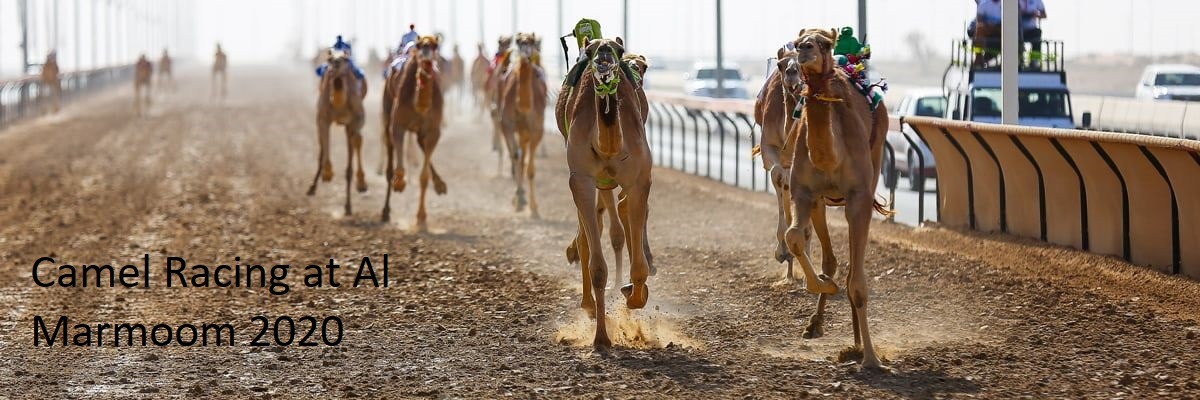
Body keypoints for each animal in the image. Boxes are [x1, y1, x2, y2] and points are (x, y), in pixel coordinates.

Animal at [307, 45, 367, 215]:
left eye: (346, 59)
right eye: (329, 58)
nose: (336, 62)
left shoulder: (358, 117)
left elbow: (357, 140)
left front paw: (361, 184)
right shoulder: (322, 118)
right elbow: (325, 140)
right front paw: (327, 173)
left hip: (349, 125)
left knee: (353, 146)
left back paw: (349, 204)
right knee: (322, 145)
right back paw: (313, 187)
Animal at [381, 36, 448, 230]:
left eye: (435, 45)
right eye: (420, 45)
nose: (425, 49)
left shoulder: (433, 131)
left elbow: (424, 177)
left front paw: (422, 219)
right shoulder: (398, 124)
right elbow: (398, 168)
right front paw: (399, 183)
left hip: (421, 132)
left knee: (421, 145)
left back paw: (440, 185)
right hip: (387, 110)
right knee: (389, 154)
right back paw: (385, 211)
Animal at [496, 32, 549, 216]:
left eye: (531, 41)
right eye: (519, 42)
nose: (526, 53)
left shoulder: (537, 130)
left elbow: (530, 169)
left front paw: (534, 208)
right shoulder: (506, 126)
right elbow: (515, 156)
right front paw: (519, 200)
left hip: (526, 132)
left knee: (525, 157)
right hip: (519, 131)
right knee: (519, 156)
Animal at [554, 37, 652, 348]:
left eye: (618, 51)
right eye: (591, 50)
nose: (605, 55)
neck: (608, 147)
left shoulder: (640, 179)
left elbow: (640, 266)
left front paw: (634, 297)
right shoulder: (582, 179)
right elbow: (597, 267)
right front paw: (601, 338)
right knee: (586, 235)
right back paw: (588, 305)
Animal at [777, 28, 892, 369]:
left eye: (825, 43)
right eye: (798, 41)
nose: (804, 51)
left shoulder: (859, 198)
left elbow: (858, 281)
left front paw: (871, 358)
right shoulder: (805, 192)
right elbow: (794, 237)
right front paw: (824, 284)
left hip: (875, 158)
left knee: (854, 267)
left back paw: (857, 344)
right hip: (821, 202)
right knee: (829, 258)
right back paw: (818, 325)